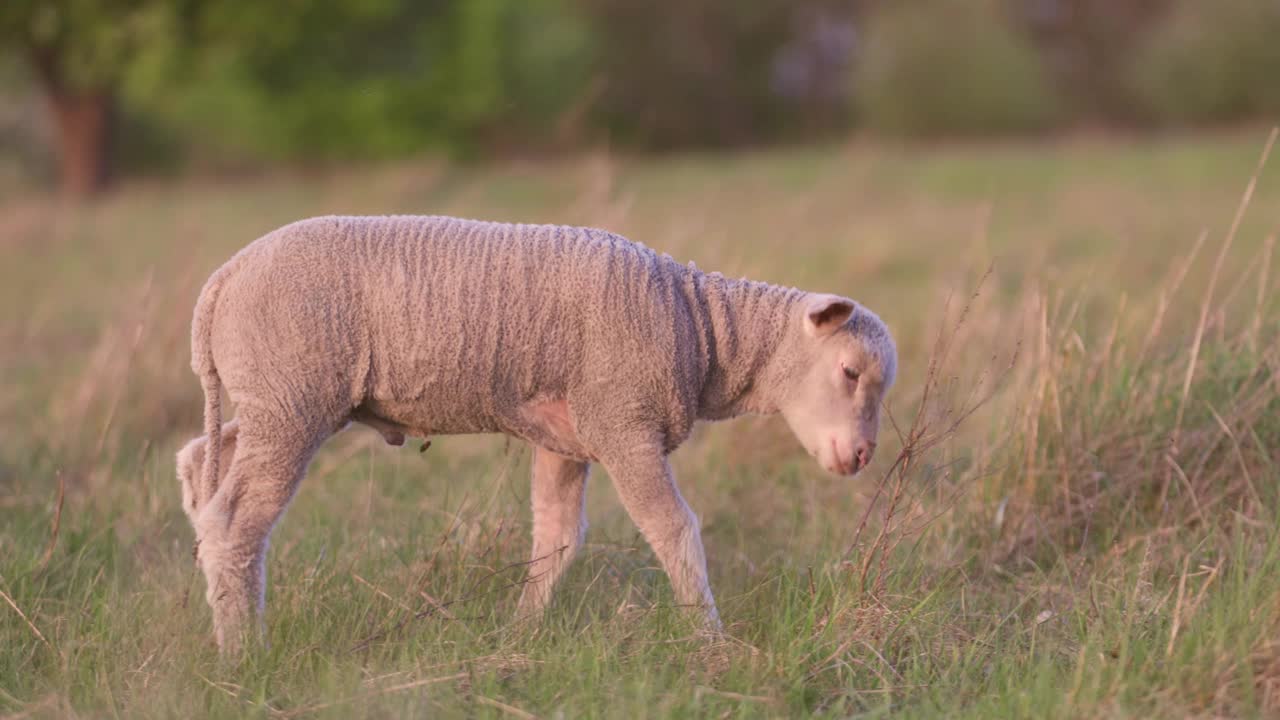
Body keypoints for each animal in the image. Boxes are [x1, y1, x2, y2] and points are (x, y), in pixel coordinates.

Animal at [177, 212, 901, 650]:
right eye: (848, 372)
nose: (863, 456)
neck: (703, 331)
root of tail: (221, 281)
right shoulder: (623, 421)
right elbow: (673, 528)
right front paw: (710, 640)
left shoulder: (565, 439)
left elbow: (557, 537)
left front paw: (518, 636)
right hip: (291, 398)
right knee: (237, 523)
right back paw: (244, 651)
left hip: (269, 398)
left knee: (200, 463)